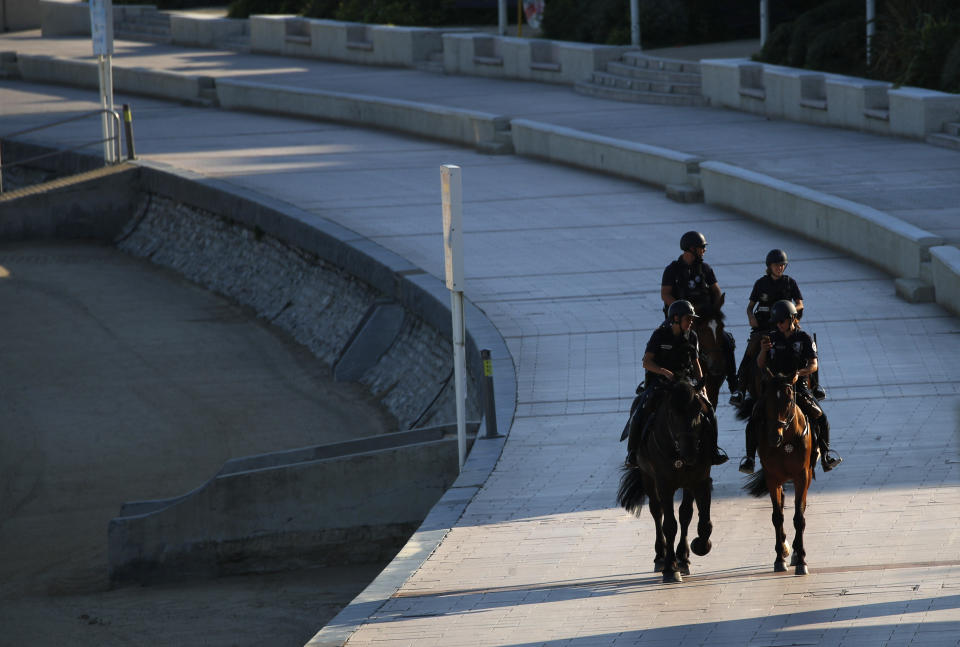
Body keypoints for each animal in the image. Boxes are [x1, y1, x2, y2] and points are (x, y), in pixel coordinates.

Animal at [620, 378, 716, 584]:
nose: (690, 453)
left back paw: (682, 556)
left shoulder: (700, 481)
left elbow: (701, 521)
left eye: (699, 410)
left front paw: (696, 548)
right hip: (647, 477)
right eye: (672, 413)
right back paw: (660, 557)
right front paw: (671, 569)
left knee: (684, 514)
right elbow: (669, 525)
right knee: (657, 512)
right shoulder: (664, 484)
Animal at [740, 370, 812, 576]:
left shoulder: (802, 476)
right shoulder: (772, 478)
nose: (774, 437)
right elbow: (777, 516)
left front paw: (801, 559)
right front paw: (779, 558)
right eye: (767, 400)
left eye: (788, 400)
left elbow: (799, 517)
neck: (786, 441)